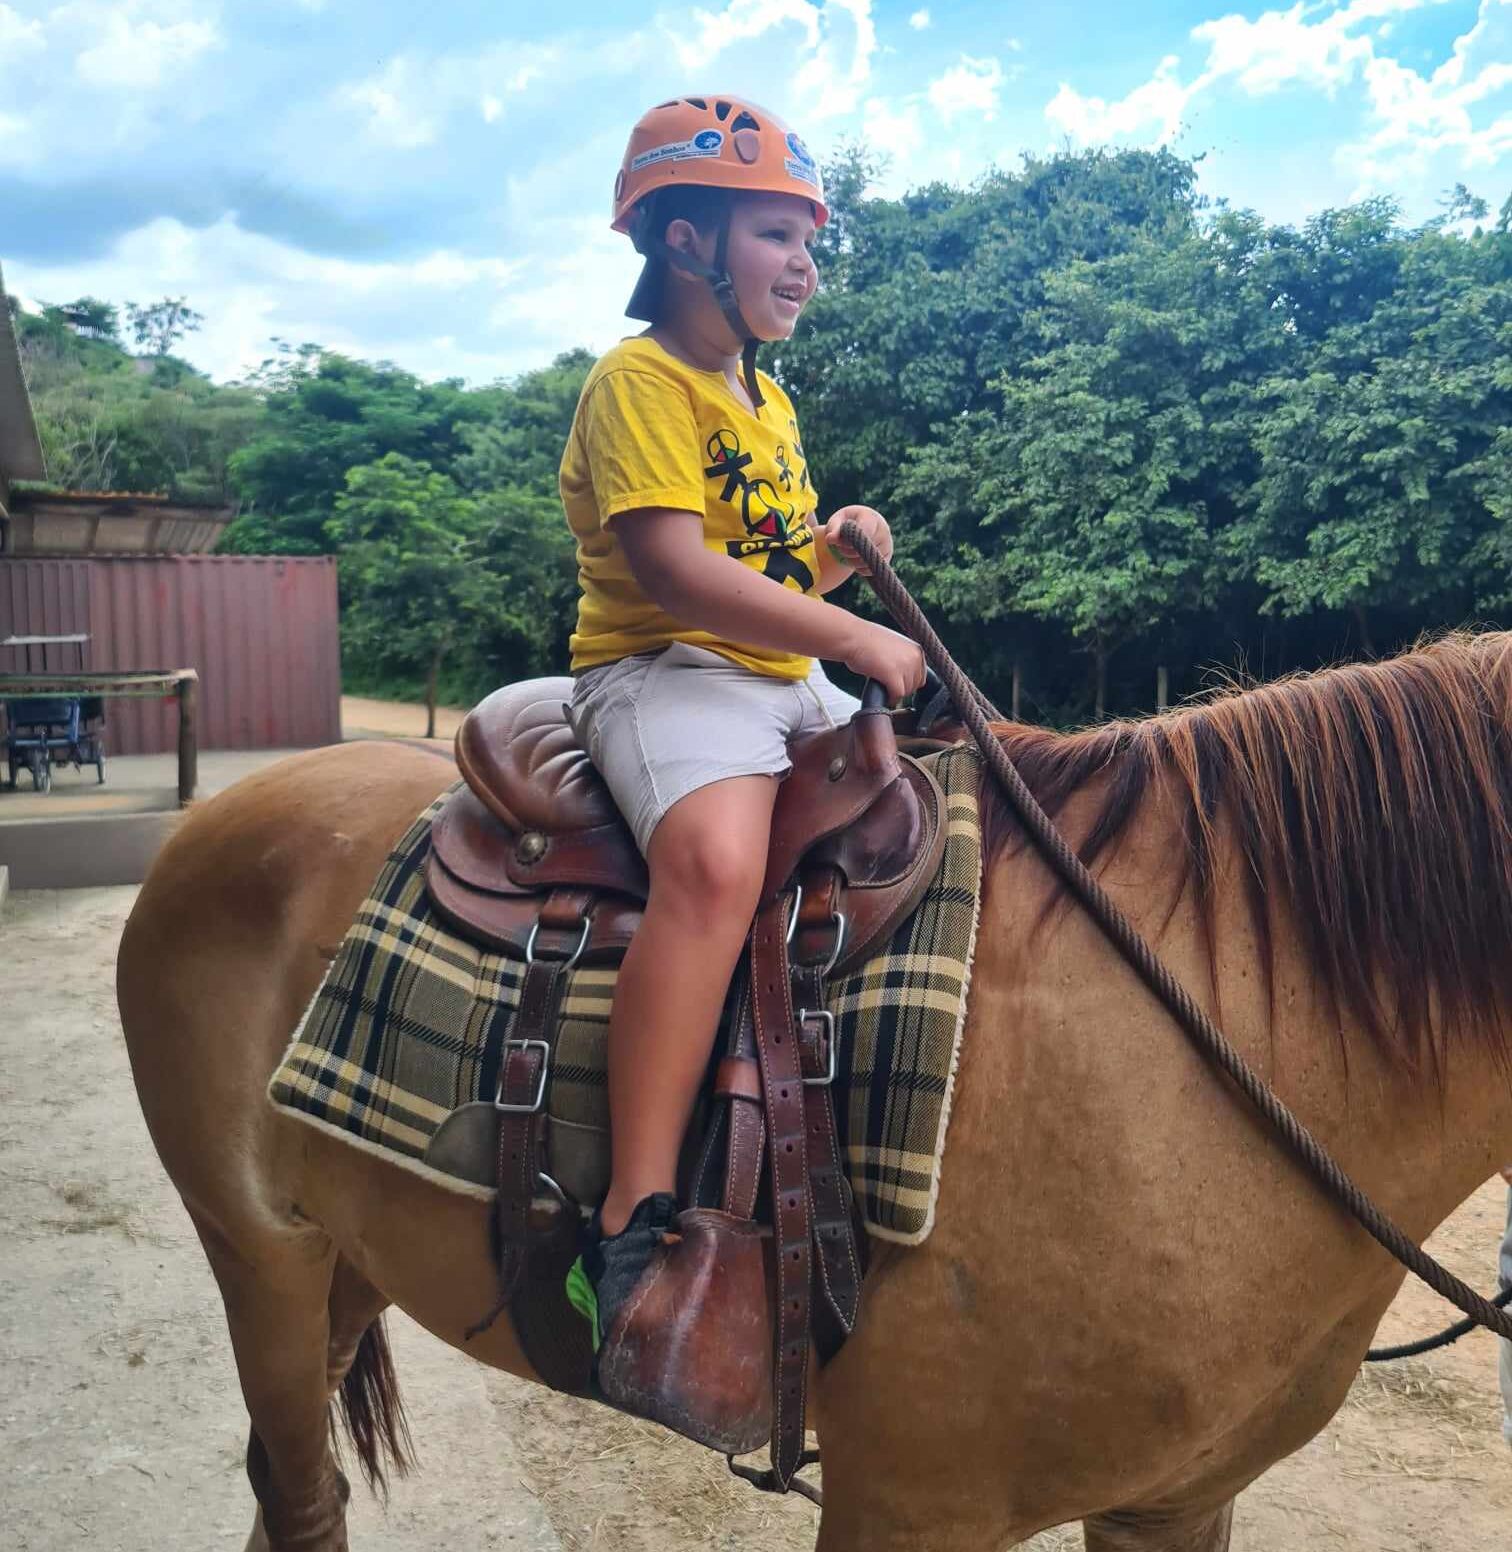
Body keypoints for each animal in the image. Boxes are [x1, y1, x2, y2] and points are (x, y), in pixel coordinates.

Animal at [115, 630, 1512, 1552]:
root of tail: (228, 813)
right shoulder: (912, 1501)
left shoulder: (1176, 1504)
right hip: (259, 1252)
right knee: (300, 1496)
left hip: (348, 1254)